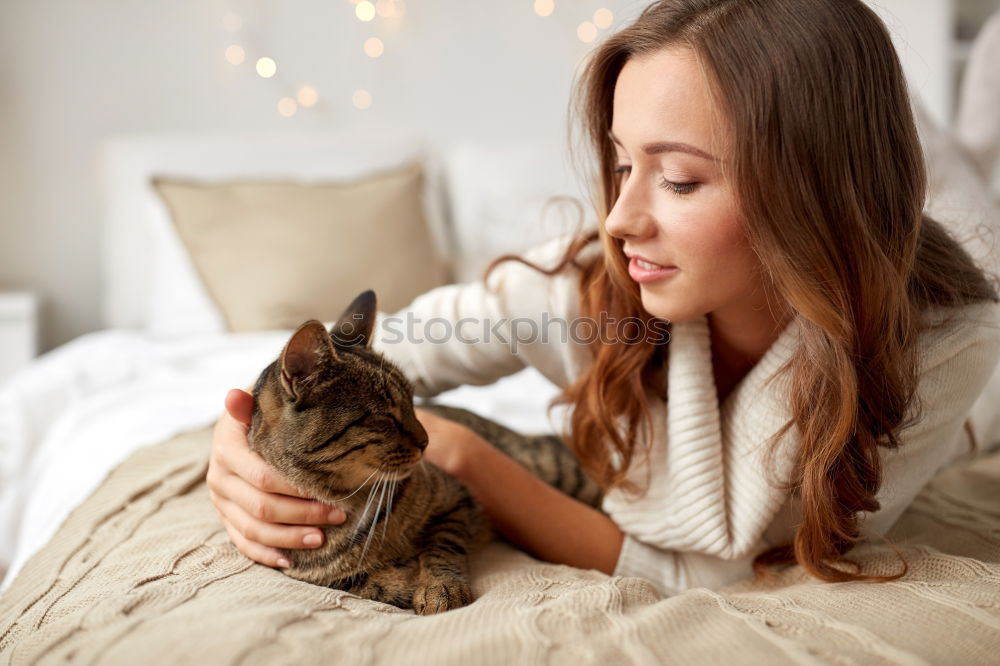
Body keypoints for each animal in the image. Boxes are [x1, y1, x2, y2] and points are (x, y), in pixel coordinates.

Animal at [247, 290, 600, 612]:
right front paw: (402, 583)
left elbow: (442, 548)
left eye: (413, 402)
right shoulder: (296, 567)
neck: (351, 500)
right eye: (384, 415)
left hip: (552, 465)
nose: (427, 441)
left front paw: (439, 588)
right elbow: (359, 582)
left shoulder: (457, 500)